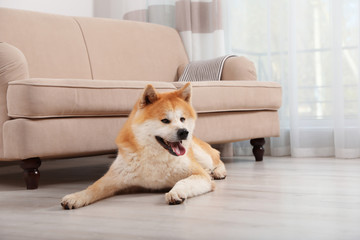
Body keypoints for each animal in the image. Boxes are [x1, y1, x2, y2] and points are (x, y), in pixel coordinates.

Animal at [60, 82, 226, 208]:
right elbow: (94, 187)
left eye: (182, 119)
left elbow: (184, 182)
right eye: (165, 120)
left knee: (217, 158)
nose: (184, 132)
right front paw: (76, 197)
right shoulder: (115, 177)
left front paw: (175, 192)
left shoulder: (199, 175)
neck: (155, 157)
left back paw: (218, 172)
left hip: (200, 154)